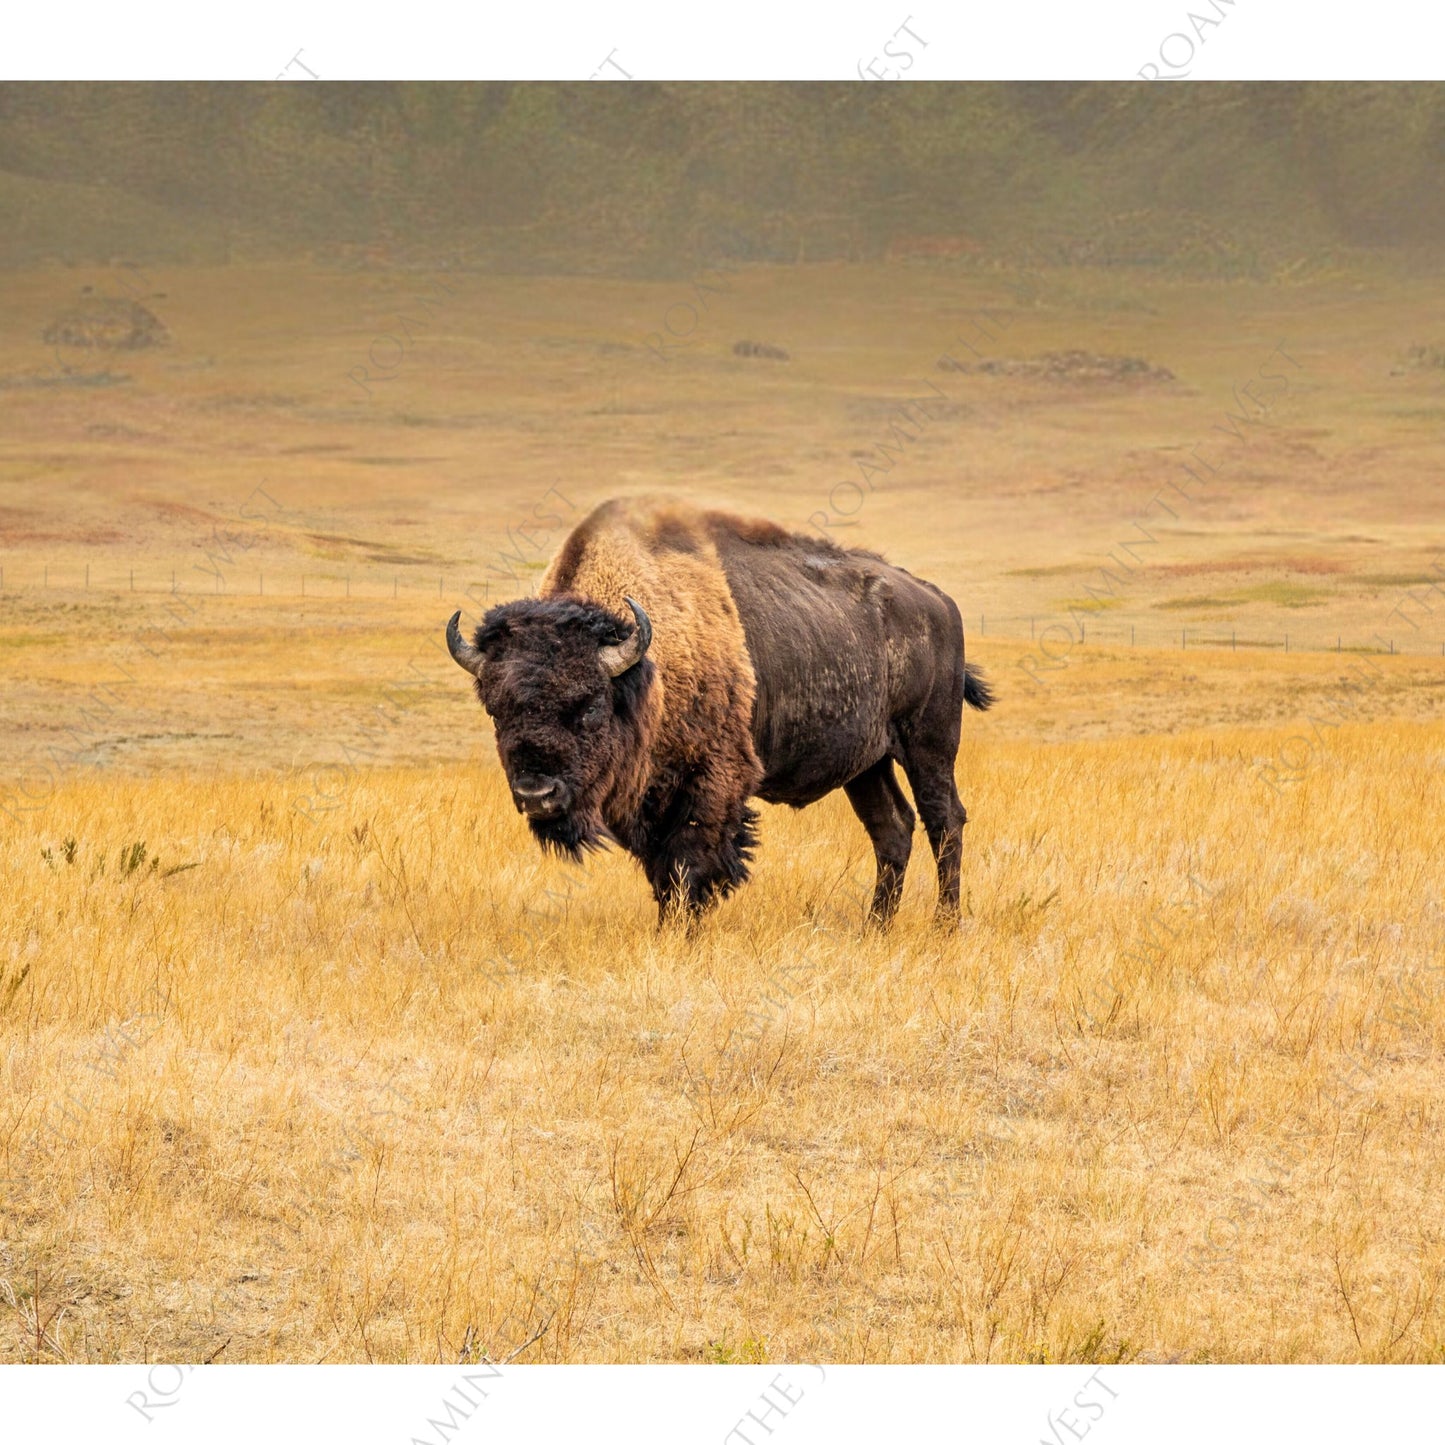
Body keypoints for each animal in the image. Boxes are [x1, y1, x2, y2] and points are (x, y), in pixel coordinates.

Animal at [446, 497, 992, 926]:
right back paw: (874, 928)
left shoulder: (712, 781)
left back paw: (944, 924)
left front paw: (681, 934)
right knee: (892, 828)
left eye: (589, 706)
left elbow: (689, 867)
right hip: (867, 764)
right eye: (496, 709)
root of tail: (939, 601)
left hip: (928, 744)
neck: (645, 668)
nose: (536, 794)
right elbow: (662, 875)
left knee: (945, 820)